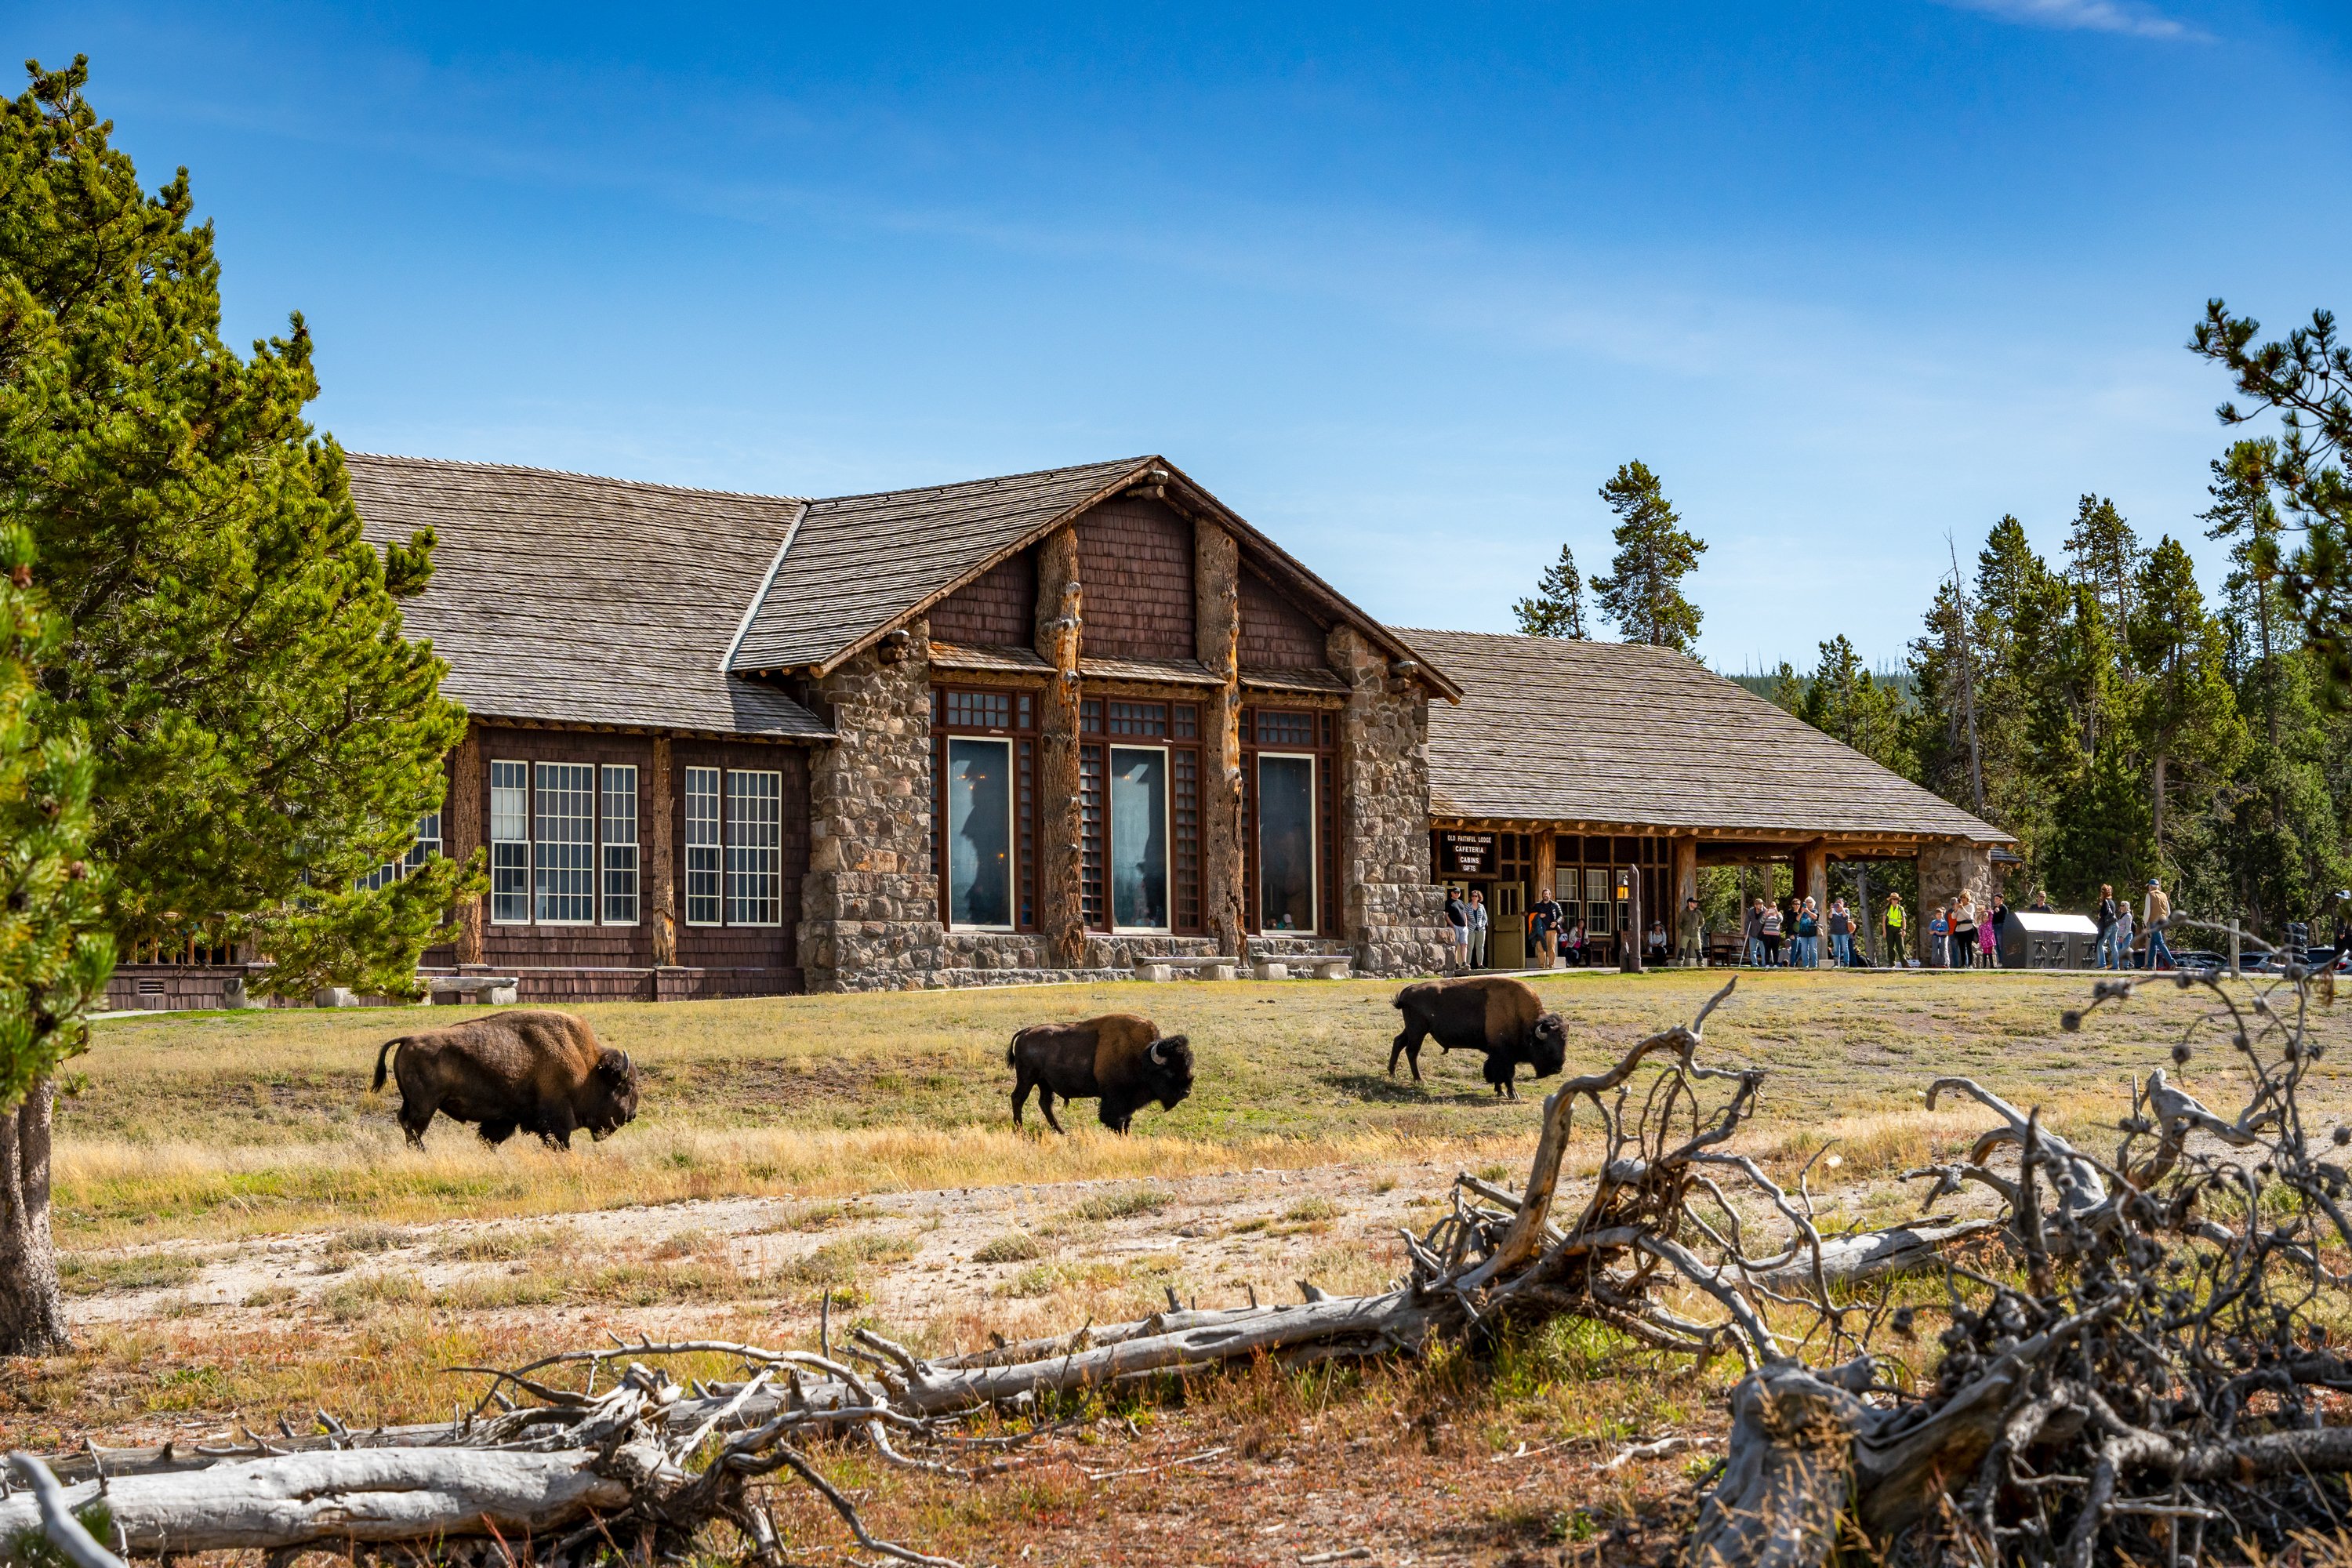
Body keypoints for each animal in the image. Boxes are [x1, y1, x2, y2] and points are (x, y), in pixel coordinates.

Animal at [372, 1011, 640, 1147]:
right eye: (626, 1087)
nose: (632, 1115)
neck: (587, 1065)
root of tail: (409, 1038)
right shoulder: (558, 1118)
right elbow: (560, 1140)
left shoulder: (503, 1119)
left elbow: (490, 1138)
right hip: (425, 1106)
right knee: (414, 1129)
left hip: (413, 1103)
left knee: (406, 1124)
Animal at [1011, 1011, 1195, 1133]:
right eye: (1169, 1071)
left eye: (1188, 1065)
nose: (1185, 1092)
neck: (1142, 1057)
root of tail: (1026, 1031)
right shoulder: (1115, 1099)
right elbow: (1116, 1120)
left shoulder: (1129, 1102)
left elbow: (1127, 1120)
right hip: (1027, 1078)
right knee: (1018, 1098)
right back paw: (1021, 1131)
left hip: (1044, 1083)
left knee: (1045, 1103)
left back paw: (1061, 1131)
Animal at [1383, 973, 1571, 1100]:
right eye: (1547, 1047)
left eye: (1564, 1043)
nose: (1558, 1068)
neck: (1521, 1016)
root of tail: (1408, 990)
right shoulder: (1504, 1054)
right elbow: (1507, 1074)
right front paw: (1512, 1094)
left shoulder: (1496, 1054)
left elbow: (1495, 1072)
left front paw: (1499, 1091)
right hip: (1418, 1031)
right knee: (1412, 1052)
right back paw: (1420, 1080)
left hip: (1412, 1030)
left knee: (1398, 1042)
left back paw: (1392, 1073)